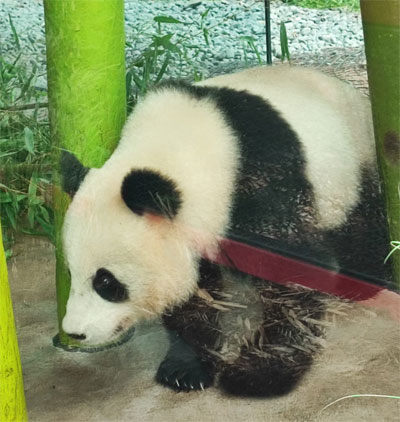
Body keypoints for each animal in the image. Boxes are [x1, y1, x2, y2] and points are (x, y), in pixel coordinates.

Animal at [60, 65, 390, 396]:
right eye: (70, 273)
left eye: (106, 281)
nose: (74, 332)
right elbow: (194, 294)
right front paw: (185, 368)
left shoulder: (263, 180)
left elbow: (291, 279)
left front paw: (259, 374)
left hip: (351, 168)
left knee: (361, 225)